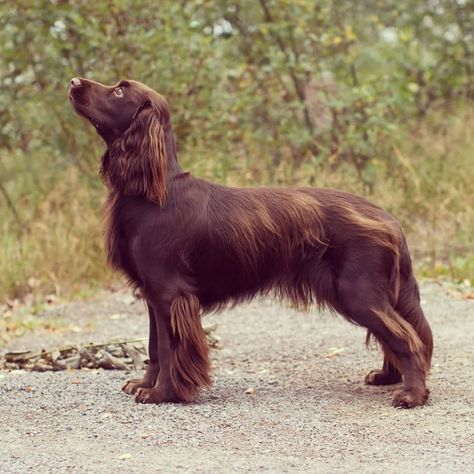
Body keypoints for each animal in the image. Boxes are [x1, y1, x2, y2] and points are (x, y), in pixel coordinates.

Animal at [67, 77, 434, 408]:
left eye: (119, 91)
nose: (72, 82)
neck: (153, 192)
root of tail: (390, 220)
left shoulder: (170, 292)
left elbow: (170, 348)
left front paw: (162, 394)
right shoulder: (153, 296)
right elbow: (154, 347)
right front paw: (145, 385)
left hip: (358, 292)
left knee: (406, 337)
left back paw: (411, 394)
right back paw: (388, 378)